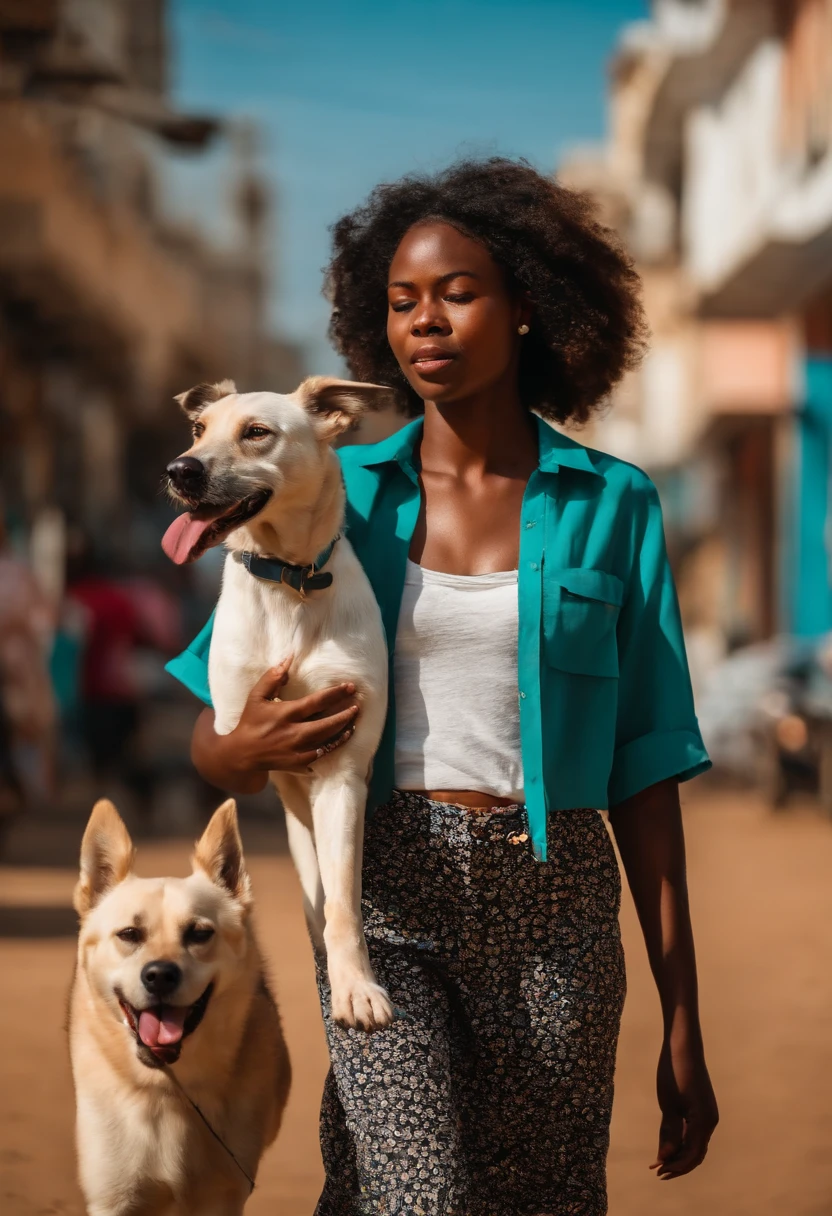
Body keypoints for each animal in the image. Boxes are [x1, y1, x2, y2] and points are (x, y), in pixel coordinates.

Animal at [165, 374, 396, 1031]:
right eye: (198, 429)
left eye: (257, 432)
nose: (179, 469)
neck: (288, 581)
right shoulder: (240, 729)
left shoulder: (343, 768)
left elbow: (344, 906)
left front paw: (356, 989)